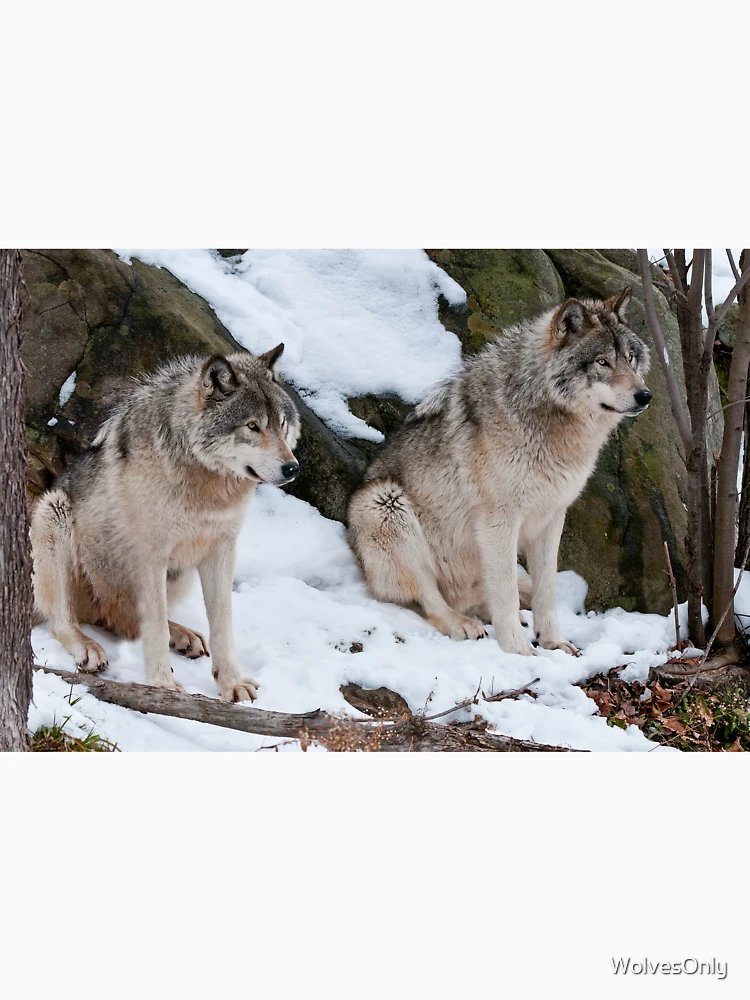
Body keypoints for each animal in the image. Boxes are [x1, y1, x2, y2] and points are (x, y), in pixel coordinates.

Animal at [31, 346, 300, 700]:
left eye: (282, 425)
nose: (292, 468)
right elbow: (155, 625)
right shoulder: (151, 554)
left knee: (129, 623)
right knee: (64, 622)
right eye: (253, 426)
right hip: (53, 511)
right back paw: (88, 646)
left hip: (177, 574)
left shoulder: (221, 550)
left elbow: (223, 623)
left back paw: (184, 635)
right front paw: (162, 685)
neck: (206, 487)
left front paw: (232, 682)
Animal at [348, 289, 651, 657]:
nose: (645, 395)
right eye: (602, 362)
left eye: (631, 358)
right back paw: (464, 624)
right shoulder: (499, 519)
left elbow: (547, 589)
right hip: (384, 503)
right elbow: (506, 591)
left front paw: (553, 642)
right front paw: (518, 650)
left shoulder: (552, 517)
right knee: (432, 600)